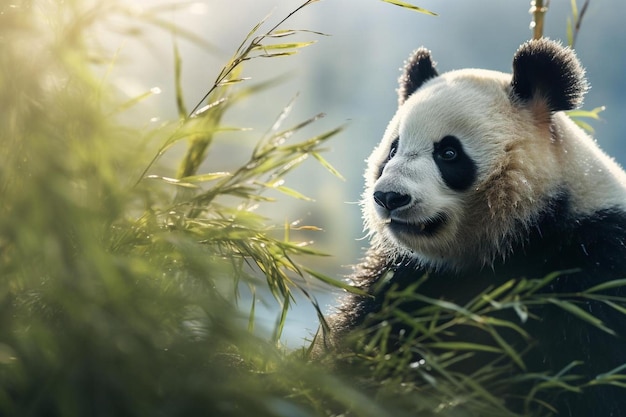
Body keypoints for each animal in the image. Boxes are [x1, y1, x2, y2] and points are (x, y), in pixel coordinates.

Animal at [314, 38, 624, 412]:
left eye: (449, 153)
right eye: (392, 149)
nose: (389, 197)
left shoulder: (594, 264)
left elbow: (588, 372)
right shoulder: (403, 275)